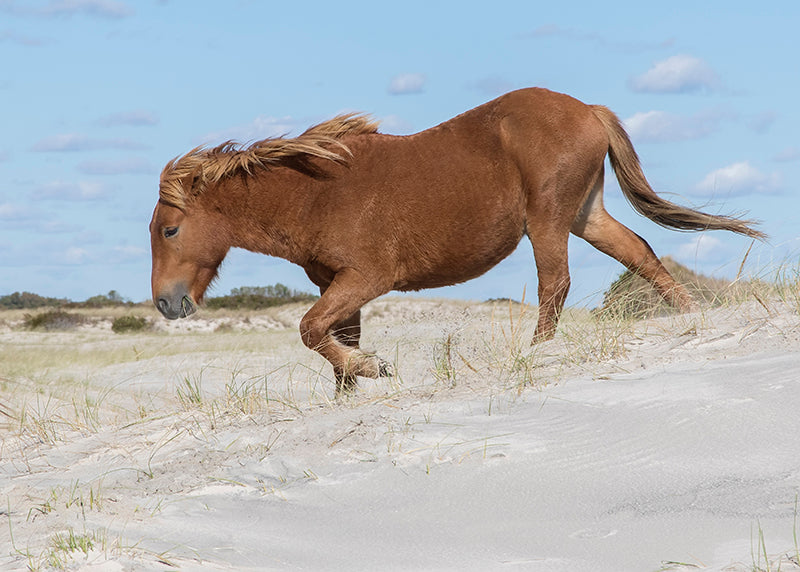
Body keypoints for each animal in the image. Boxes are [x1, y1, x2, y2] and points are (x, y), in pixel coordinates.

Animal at [150, 88, 764, 394]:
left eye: (170, 229)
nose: (165, 303)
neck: (314, 193)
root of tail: (587, 110)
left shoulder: (367, 278)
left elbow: (309, 330)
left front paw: (372, 369)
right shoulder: (338, 286)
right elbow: (332, 340)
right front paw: (353, 387)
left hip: (547, 220)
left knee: (555, 284)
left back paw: (536, 355)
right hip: (585, 216)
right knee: (641, 254)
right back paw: (692, 320)